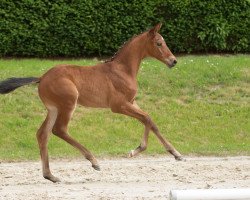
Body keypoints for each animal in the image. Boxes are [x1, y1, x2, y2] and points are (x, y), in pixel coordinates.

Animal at [0, 23, 183, 183]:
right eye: (159, 43)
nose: (173, 61)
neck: (122, 70)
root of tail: (41, 77)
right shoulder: (119, 106)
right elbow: (147, 118)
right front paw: (136, 150)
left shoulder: (132, 102)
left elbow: (150, 121)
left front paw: (175, 153)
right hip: (68, 104)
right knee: (59, 130)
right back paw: (93, 161)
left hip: (53, 109)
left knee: (42, 134)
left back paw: (50, 176)